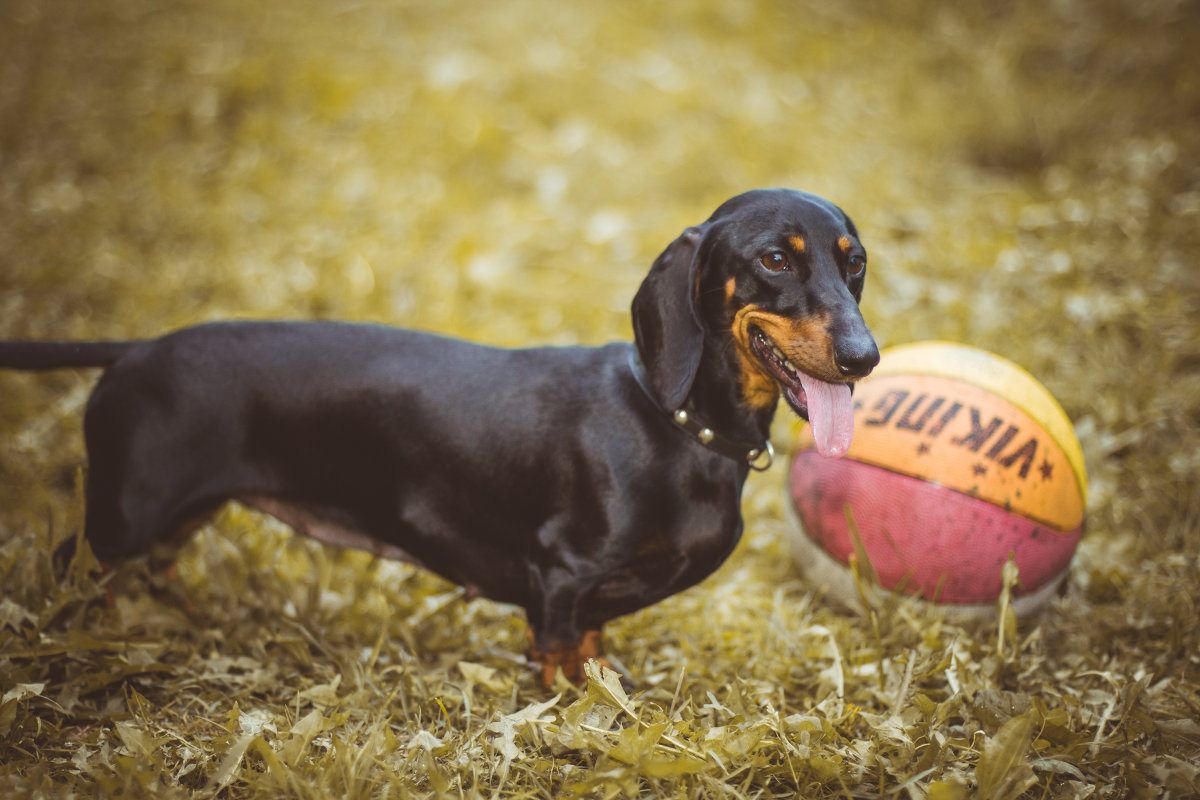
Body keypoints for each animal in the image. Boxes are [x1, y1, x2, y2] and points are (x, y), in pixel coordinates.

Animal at [2, 190, 883, 686]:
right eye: (774, 260)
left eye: (856, 263)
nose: (865, 358)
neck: (674, 427)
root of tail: (135, 350)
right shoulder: (560, 575)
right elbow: (557, 663)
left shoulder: (590, 603)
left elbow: (594, 654)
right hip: (125, 514)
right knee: (70, 573)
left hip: (175, 515)